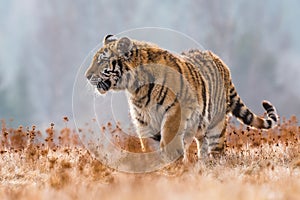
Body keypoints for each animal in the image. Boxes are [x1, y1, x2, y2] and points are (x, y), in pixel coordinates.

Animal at [85, 34, 278, 162]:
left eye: (101, 61)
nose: (87, 76)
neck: (137, 89)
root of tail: (221, 62)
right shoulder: (143, 121)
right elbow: (148, 146)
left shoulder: (176, 110)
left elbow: (169, 137)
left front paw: (173, 161)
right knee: (203, 146)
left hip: (216, 126)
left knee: (217, 151)